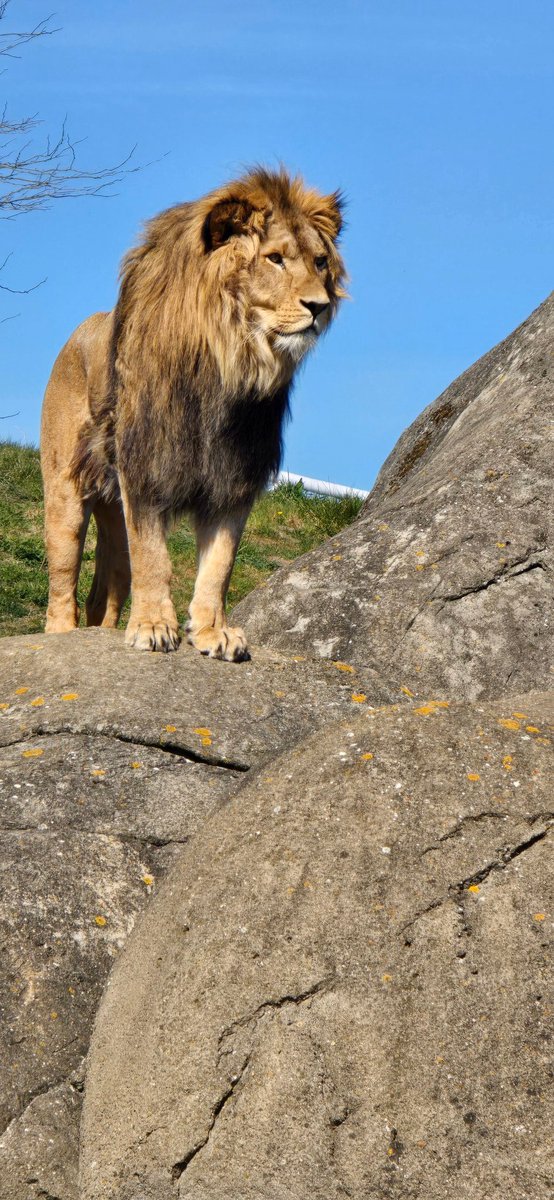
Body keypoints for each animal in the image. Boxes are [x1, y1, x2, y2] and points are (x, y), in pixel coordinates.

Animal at [40, 166, 346, 660]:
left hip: (113, 509)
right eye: (275, 259)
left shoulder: (234, 478)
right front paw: (152, 627)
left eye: (320, 262)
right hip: (66, 492)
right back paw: (62, 636)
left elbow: (219, 565)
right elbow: (154, 558)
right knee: (64, 579)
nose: (317, 307)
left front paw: (212, 631)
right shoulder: (145, 467)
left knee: (107, 587)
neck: (230, 362)